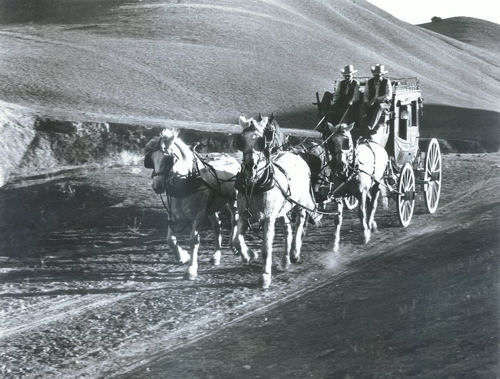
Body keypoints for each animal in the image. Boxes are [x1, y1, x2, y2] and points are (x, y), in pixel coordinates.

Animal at [145, 129, 240, 280]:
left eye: (167, 159)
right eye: (152, 159)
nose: (157, 186)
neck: (186, 181)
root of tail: (231, 158)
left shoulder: (199, 215)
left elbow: (193, 240)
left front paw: (191, 269)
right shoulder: (173, 214)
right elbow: (170, 239)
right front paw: (182, 256)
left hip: (233, 201)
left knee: (234, 221)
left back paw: (234, 246)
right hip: (212, 207)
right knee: (217, 226)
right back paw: (216, 255)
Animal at [234, 116, 316, 288]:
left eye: (261, 141)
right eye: (241, 141)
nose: (250, 167)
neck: (255, 185)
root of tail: (295, 155)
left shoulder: (268, 219)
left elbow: (266, 247)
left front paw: (265, 276)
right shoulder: (244, 215)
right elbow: (237, 240)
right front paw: (249, 255)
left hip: (299, 203)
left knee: (300, 223)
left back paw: (295, 252)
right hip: (283, 209)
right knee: (287, 229)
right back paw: (285, 260)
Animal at [324, 121, 390, 252]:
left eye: (347, 141)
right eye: (332, 142)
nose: (341, 166)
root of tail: (376, 145)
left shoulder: (361, 193)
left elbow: (361, 213)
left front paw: (365, 235)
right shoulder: (338, 195)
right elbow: (337, 218)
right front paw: (335, 243)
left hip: (376, 183)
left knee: (372, 204)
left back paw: (369, 225)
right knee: (369, 202)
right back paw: (372, 224)